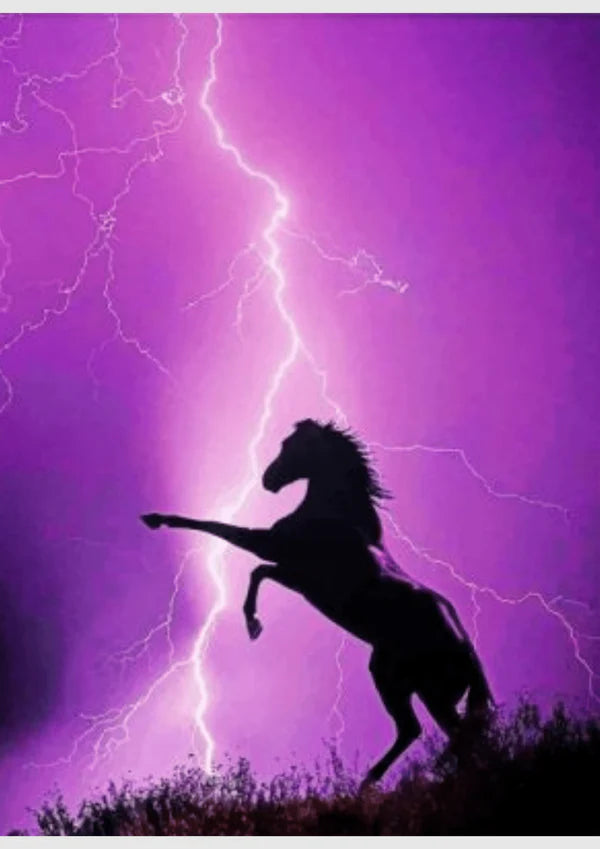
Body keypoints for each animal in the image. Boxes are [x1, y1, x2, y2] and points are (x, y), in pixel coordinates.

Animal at [141, 418, 494, 786]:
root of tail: (468, 652)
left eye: (291, 445)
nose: (268, 480)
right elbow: (258, 572)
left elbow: (222, 532)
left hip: (409, 685)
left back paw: (372, 783)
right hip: (419, 687)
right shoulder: (294, 576)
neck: (336, 516)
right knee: (438, 735)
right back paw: (377, 783)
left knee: (431, 733)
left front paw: (157, 519)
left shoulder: (275, 551)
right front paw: (254, 624)